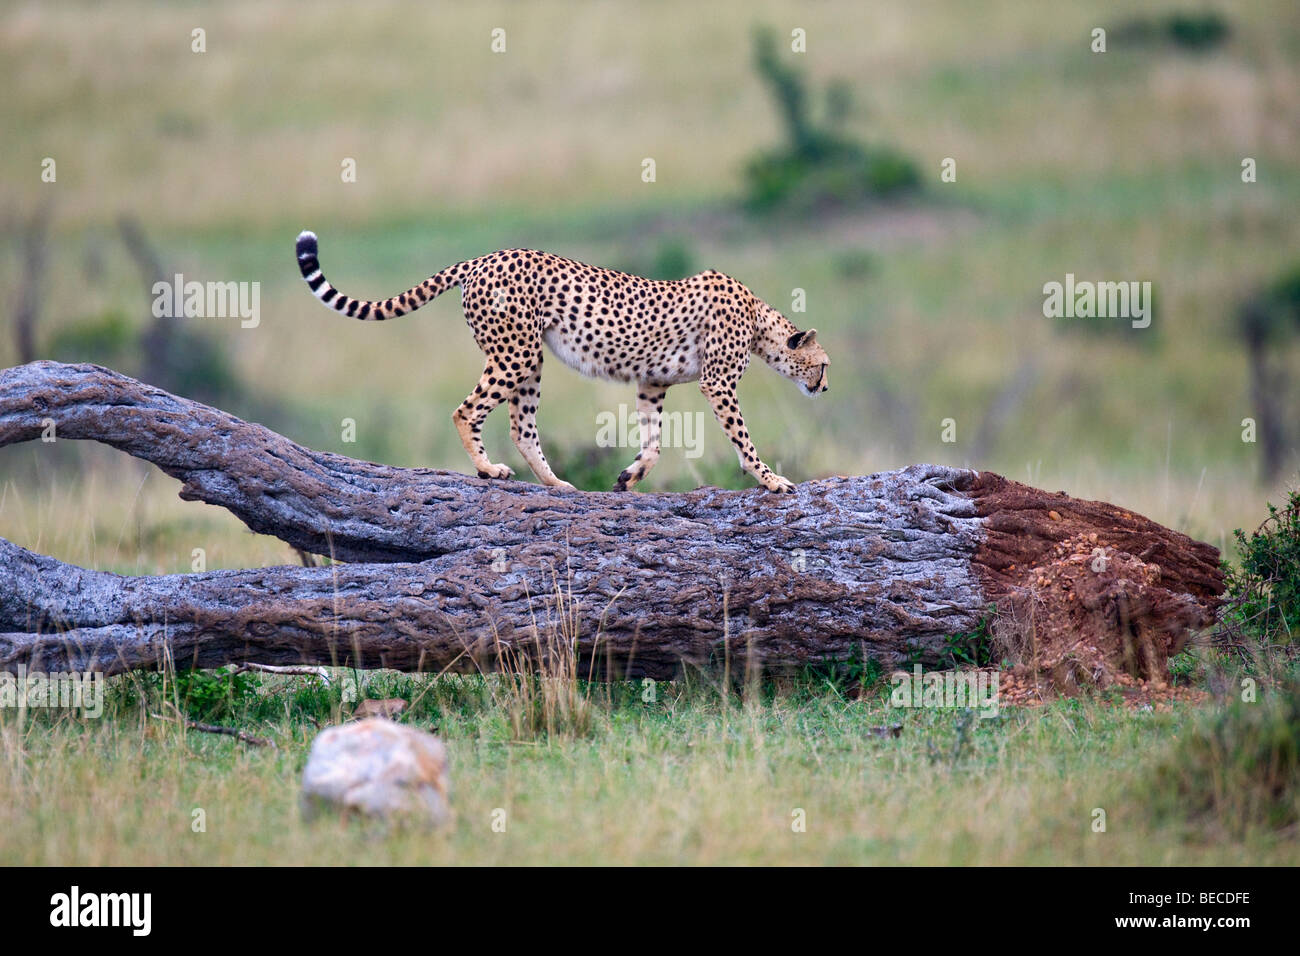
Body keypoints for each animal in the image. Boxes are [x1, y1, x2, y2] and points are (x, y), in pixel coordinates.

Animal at [296, 228, 826, 489]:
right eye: (823, 365)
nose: (823, 387)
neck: (759, 322)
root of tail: (486, 256)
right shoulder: (717, 384)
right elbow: (744, 441)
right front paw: (773, 481)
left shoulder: (652, 384)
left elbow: (654, 442)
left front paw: (630, 476)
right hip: (516, 351)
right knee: (467, 411)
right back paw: (488, 470)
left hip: (528, 360)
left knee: (521, 427)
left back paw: (554, 483)